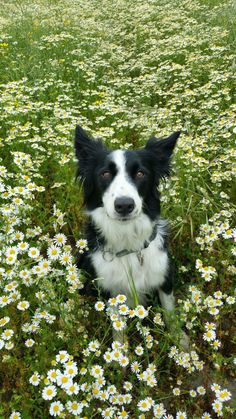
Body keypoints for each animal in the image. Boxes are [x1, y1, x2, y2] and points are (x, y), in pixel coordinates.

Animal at [74, 126, 187, 346]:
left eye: (141, 173)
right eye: (105, 173)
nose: (124, 205)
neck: (128, 241)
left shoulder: (164, 277)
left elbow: (169, 312)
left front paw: (182, 343)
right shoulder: (110, 289)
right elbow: (117, 323)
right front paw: (121, 349)